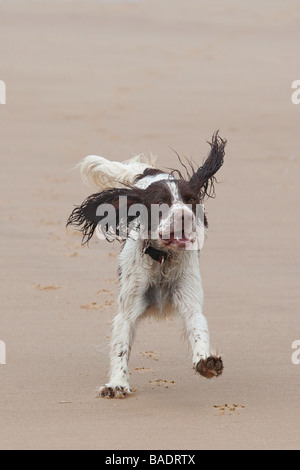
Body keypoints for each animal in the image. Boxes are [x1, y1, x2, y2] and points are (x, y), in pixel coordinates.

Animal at [68, 131, 226, 396]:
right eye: (161, 203)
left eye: (192, 200)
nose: (185, 216)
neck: (163, 260)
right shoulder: (127, 309)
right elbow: (120, 345)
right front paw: (117, 384)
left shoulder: (190, 301)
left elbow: (198, 328)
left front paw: (205, 362)